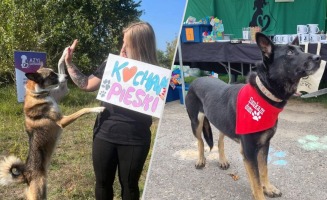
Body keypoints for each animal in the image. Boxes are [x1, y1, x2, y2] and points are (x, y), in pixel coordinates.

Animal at [0, 66, 104, 199]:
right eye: (51, 75)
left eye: (54, 72)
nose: (66, 77)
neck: (37, 94)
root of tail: (26, 174)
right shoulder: (62, 121)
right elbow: (83, 110)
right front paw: (98, 109)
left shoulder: (62, 92)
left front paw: (65, 59)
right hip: (39, 192)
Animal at [186, 32, 322, 199]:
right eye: (290, 53)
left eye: (301, 49)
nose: (318, 58)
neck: (264, 94)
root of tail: (199, 79)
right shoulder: (249, 151)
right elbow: (256, 180)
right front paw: (260, 192)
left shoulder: (264, 145)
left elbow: (263, 170)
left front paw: (268, 188)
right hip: (196, 122)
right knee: (200, 141)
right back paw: (200, 160)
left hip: (222, 122)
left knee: (219, 141)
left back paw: (222, 160)